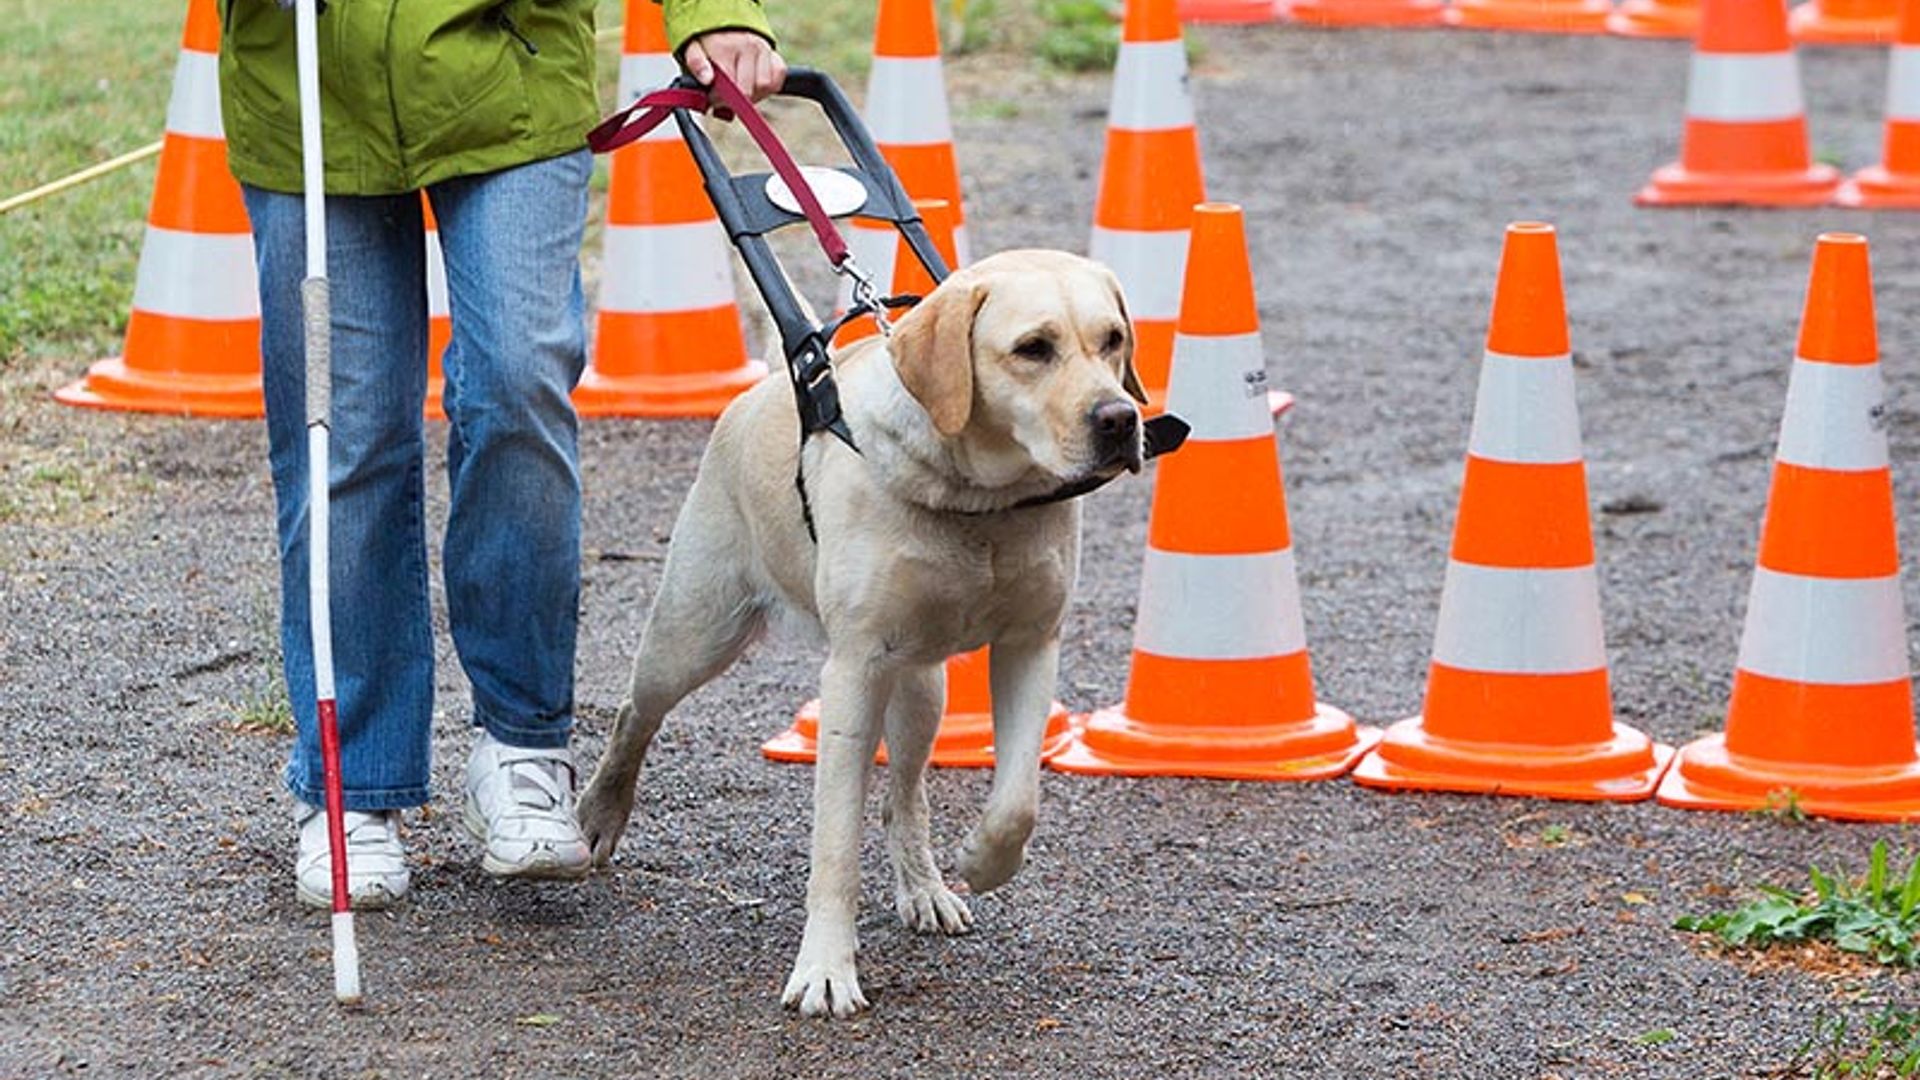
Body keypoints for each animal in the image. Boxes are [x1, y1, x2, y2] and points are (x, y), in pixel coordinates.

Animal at [576, 247, 1144, 1014]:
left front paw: (982, 861)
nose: (1120, 418)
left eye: (1113, 339)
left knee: (905, 797)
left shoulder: (1031, 645)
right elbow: (836, 844)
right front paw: (824, 969)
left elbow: (1017, 801)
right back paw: (600, 811)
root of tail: (762, 388)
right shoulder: (853, 674)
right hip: (693, 634)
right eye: (1033, 349)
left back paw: (926, 887)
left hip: (923, 689)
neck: (979, 501)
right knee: (635, 714)